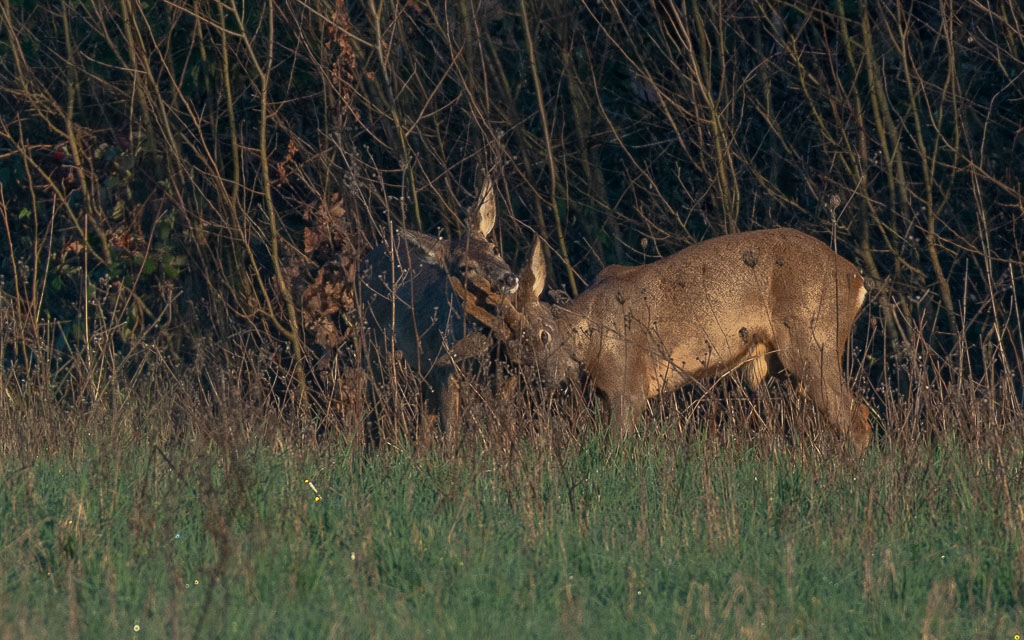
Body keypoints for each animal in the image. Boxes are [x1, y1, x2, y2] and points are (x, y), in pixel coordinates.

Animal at [360, 180, 520, 438]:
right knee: (376, 403)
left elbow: (508, 427)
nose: (508, 278)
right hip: (373, 344)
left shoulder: (506, 374)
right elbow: (450, 431)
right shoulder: (446, 371)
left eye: (494, 248)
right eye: (466, 268)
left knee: (423, 418)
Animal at [512, 227, 872, 452]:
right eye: (513, 345)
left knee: (854, 415)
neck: (593, 333)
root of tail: (856, 279)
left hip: (812, 340)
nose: (544, 380)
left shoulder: (629, 384)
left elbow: (616, 446)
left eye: (544, 335)